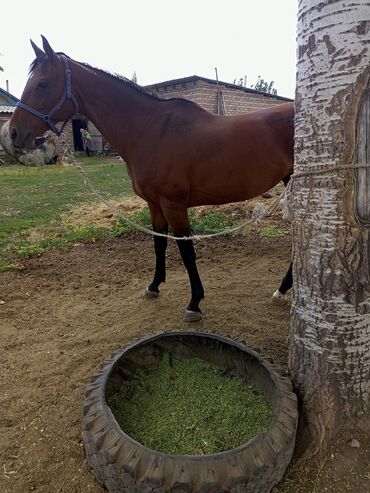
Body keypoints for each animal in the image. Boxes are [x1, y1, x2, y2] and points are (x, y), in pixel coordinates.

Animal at [9, 34, 294, 320]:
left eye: (42, 84)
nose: (12, 133)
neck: (152, 130)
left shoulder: (174, 204)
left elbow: (186, 251)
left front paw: (194, 302)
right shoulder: (154, 204)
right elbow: (159, 243)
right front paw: (154, 286)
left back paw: (282, 290)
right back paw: (282, 290)